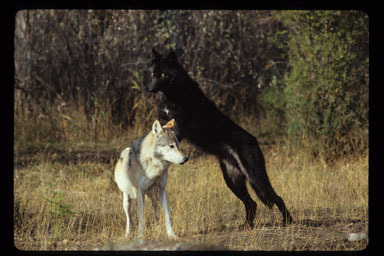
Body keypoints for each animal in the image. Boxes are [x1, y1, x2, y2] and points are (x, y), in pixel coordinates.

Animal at [148, 48, 292, 228]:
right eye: (153, 73)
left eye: (162, 75)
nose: (149, 89)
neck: (172, 95)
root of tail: (254, 140)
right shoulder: (162, 121)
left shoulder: (178, 128)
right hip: (232, 181)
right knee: (252, 203)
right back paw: (246, 225)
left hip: (256, 179)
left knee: (277, 198)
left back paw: (287, 221)